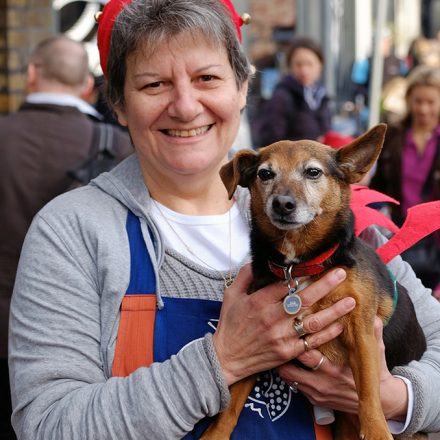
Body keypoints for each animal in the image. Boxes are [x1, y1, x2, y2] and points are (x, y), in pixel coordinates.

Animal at [202, 124, 426, 440]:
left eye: (313, 172)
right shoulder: (255, 345)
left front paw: (376, 430)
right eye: (265, 174)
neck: (297, 267)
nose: (282, 204)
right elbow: (232, 401)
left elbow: (369, 389)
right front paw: (216, 433)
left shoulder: (362, 334)